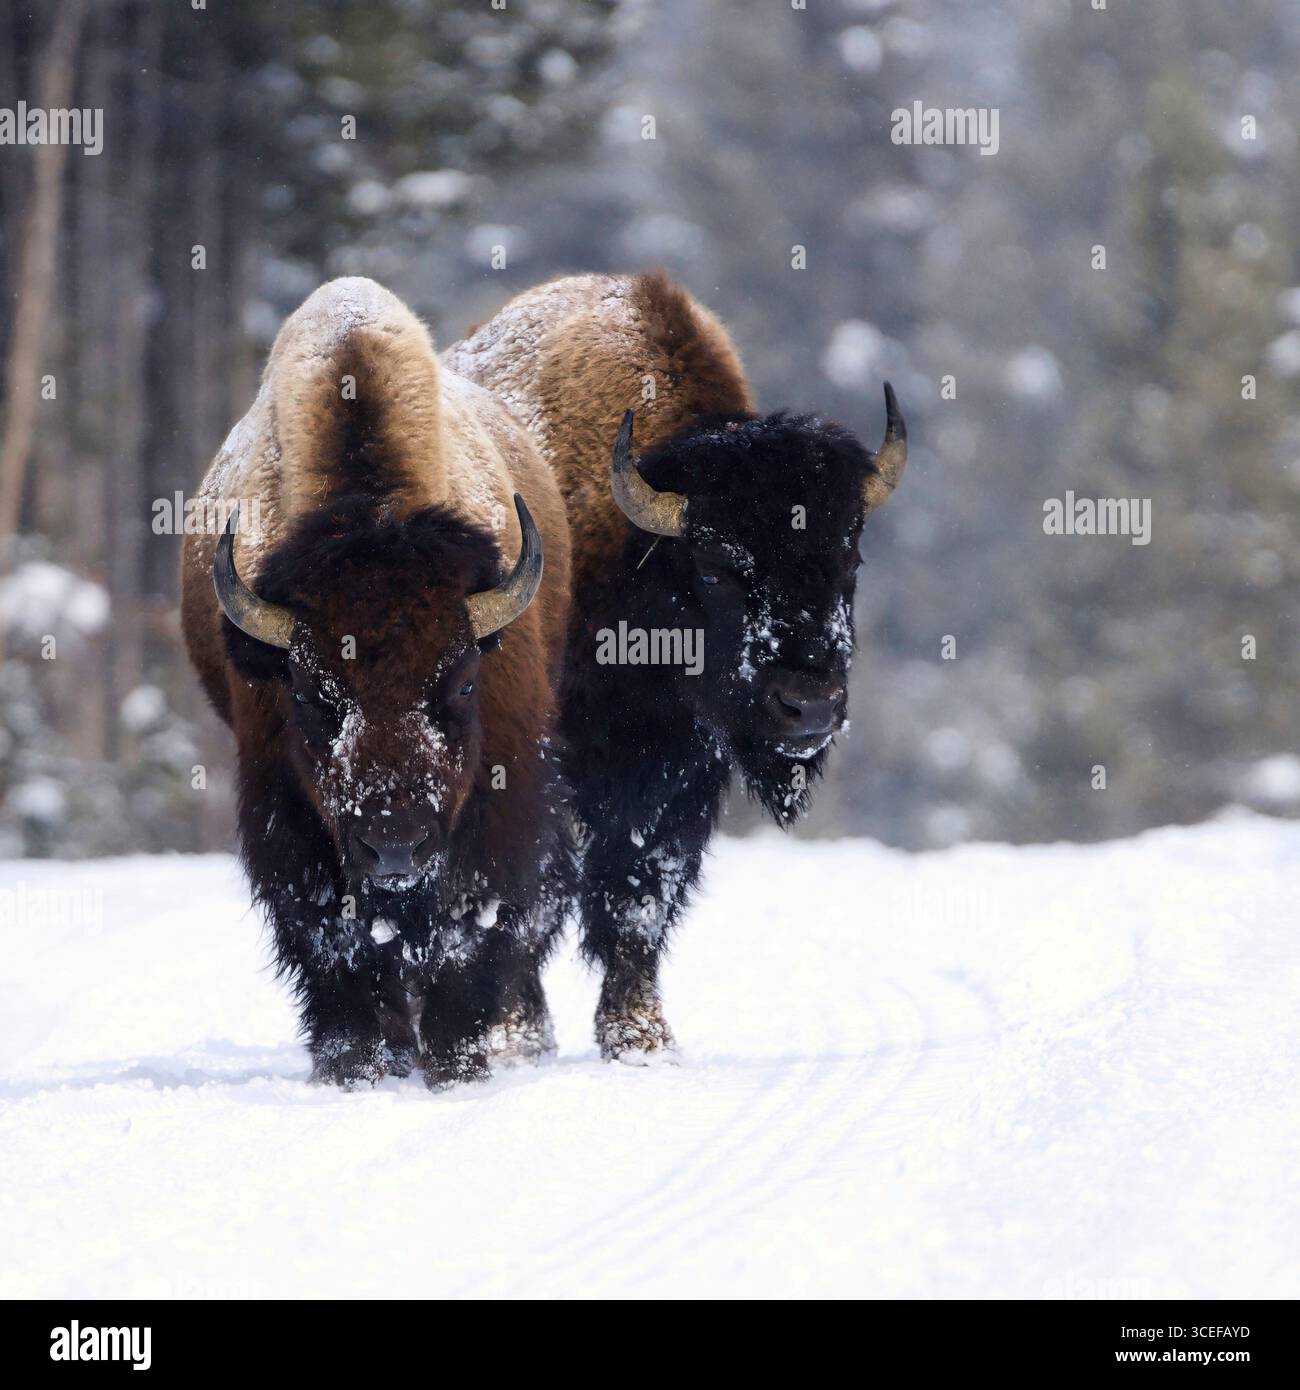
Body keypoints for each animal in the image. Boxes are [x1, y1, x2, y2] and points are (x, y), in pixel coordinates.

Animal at [181, 278, 572, 1087]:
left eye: (462, 682)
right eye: (308, 694)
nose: (393, 847)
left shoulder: (499, 802)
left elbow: (470, 927)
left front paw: (456, 1062)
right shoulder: (285, 812)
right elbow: (331, 939)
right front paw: (352, 1064)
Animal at [445, 271, 906, 1060]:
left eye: (850, 559)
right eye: (717, 567)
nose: (809, 705)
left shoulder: (678, 775)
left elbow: (639, 895)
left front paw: (639, 1035)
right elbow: (537, 891)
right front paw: (517, 1032)